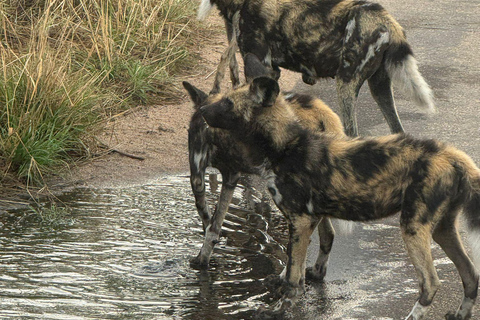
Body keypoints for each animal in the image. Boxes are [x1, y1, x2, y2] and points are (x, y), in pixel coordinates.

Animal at [182, 53, 344, 278]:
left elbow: (210, 223)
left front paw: (203, 259)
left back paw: (286, 273)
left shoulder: (207, 174)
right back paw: (316, 271)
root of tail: (321, 113)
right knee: (327, 234)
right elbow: (213, 224)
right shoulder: (223, 176)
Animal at [198, 0, 436, 136]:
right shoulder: (269, 71)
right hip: (379, 86)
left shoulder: (261, 65)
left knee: (352, 134)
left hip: (345, 84)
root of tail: (386, 21)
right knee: (399, 131)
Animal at [198, 75, 480, 320]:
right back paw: (460, 314)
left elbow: (292, 278)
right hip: (442, 229)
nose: (201, 110)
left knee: (430, 283)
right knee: (471, 275)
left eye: (227, 102)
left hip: (413, 227)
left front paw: (279, 310)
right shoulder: (309, 219)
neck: (284, 146)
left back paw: (412, 316)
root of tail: (454, 156)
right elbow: (295, 266)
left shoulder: (300, 220)